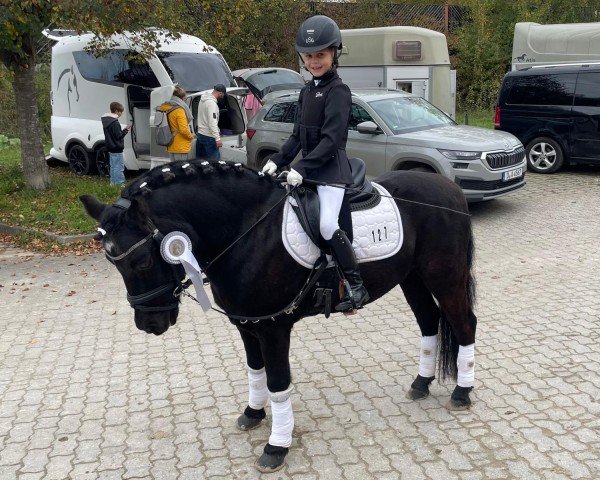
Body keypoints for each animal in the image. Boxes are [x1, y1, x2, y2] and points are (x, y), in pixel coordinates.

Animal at [82, 160, 478, 472]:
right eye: (112, 264)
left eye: (141, 260)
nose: (150, 324)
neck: (248, 229)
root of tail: (450, 188)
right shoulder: (246, 324)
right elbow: (255, 372)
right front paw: (253, 414)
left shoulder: (273, 328)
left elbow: (277, 383)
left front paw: (276, 446)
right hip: (412, 278)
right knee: (428, 321)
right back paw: (421, 383)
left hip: (444, 276)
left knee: (463, 323)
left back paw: (461, 392)